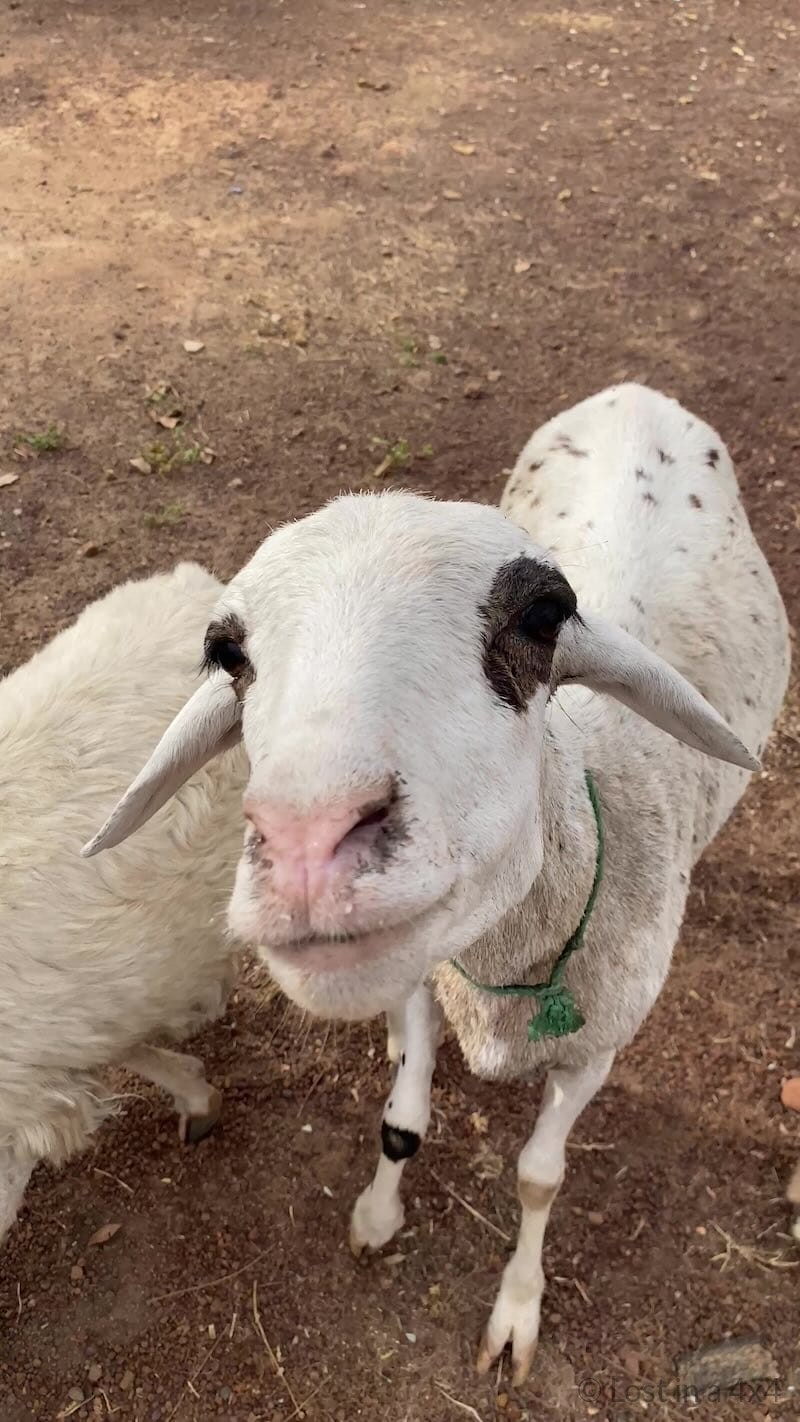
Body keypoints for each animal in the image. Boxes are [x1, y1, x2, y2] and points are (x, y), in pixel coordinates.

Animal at [85, 385, 790, 1378]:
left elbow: (539, 1178)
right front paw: (378, 1214)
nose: (308, 849)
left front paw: (517, 1312)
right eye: (228, 653)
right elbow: (401, 1123)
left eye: (543, 615)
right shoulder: (428, 974)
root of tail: (637, 393)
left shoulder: (598, 1049)